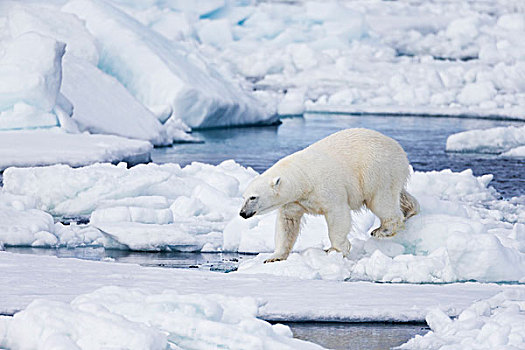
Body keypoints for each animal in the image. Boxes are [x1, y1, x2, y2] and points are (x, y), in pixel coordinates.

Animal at [239, 129, 420, 262]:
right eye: (244, 197)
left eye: (253, 197)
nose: (242, 213)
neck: (304, 178)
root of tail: (398, 147)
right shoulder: (294, 201)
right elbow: (287, 223)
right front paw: (274, 257)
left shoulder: (327, 188)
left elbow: (338, 215)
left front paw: (335, 249)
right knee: (398, 194)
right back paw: (411, 210)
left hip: (377, 171)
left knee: (381, 200)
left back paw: (383, 229)